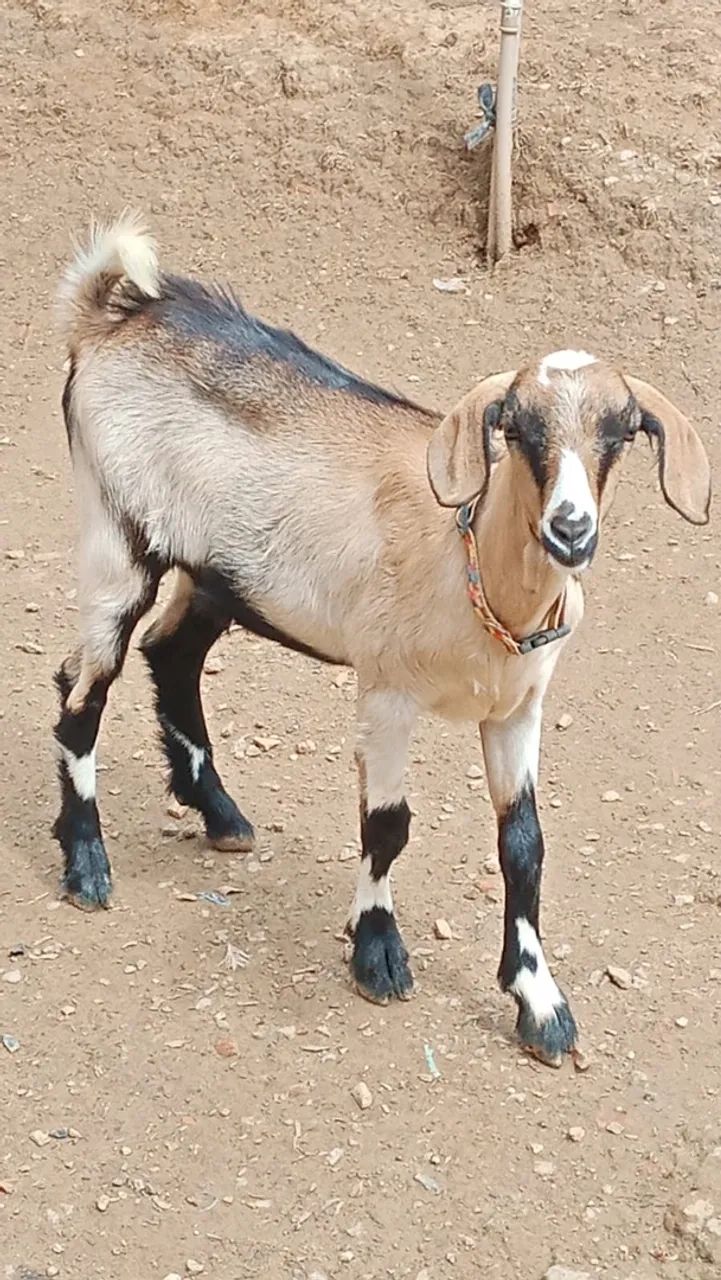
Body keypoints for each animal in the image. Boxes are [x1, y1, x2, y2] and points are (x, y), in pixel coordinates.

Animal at [53, 214, 711, 1067]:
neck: (474, 574)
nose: (569, 528)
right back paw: (86, 865)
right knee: (82, 688)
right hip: (117, 539)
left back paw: (220, 813)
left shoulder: (517, 710)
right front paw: (377, 951)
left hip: (219, 573)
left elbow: (524, 843)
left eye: (621, 432)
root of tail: (110, 316)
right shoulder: (387, 693)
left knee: (171, 652)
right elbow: (387, 825)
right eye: (517, 426)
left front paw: (539, 1003)